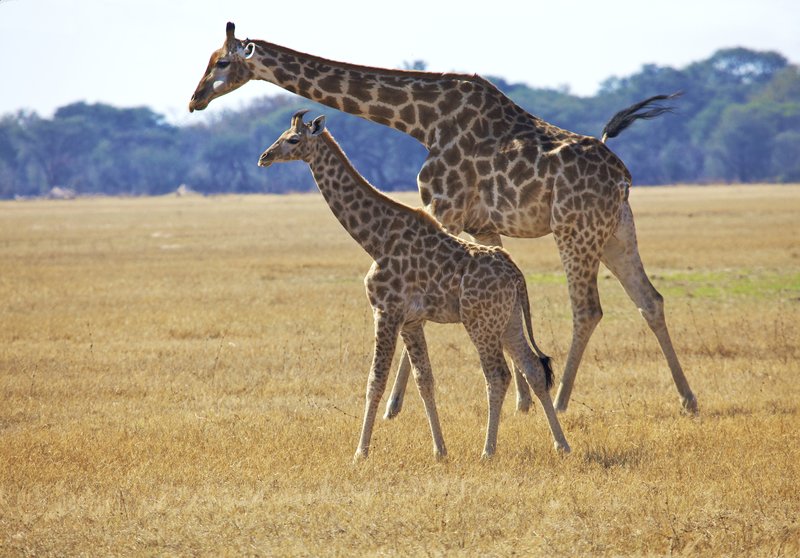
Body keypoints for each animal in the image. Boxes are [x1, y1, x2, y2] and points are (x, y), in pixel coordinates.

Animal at [189, 22, 698, 416]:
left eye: (221, 63)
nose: (195, 100)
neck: (422, 121)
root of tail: (623, 176)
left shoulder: (443, 208)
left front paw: (395, 407)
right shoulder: (482, 224)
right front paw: (521, 402)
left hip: (576, 229)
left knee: (588, 308)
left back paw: (564, 401)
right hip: (617, 231)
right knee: (650, 300)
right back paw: (688, 399)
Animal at [257, 110, 570, 459]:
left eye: (292, 139)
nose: (264, 157)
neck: (375, 239)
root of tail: (516, 274)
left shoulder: (386, 311)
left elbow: (375, 381)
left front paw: (360, 452)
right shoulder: (412, 321)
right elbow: (425, 381)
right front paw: (440, 450)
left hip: (480, 322)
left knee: (498, 375)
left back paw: (488, 451)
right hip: (509, 319)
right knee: (533, 368)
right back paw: (561, 444)